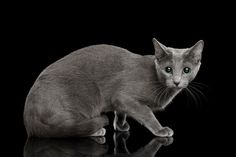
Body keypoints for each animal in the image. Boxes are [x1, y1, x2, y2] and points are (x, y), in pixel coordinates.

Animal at [24, 38, 205, 137]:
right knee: (66, 129)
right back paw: (96, 131)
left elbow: (121, 111)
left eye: (186, 70)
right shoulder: (124, 96)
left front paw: (121, 126)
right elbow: (146, 113)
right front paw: (160, 130)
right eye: (168, 69)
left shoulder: (120, 102)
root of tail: (29, 117)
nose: (176, 81)